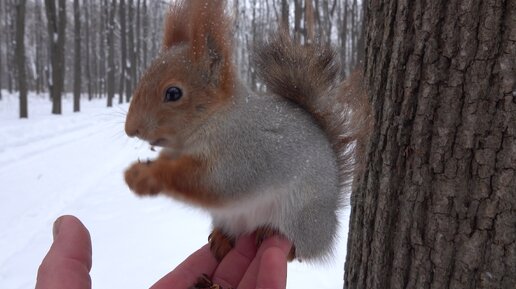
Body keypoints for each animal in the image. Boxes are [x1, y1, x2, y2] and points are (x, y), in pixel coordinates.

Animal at [123, 0, 368, 266]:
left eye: (173, 93)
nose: (130, 129)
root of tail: (328, 225)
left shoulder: (244, 152)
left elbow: (214, 182)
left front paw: (145, 176)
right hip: (227, 217)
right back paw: (222, 239)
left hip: (301, 216)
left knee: (300, 250)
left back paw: (274, 235)